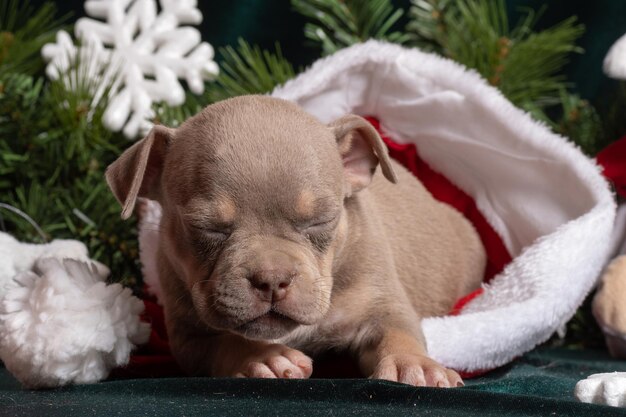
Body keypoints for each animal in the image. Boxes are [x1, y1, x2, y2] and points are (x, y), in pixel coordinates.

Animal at [105, 94, 482, 386]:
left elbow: (398, 331)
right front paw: (263, 357)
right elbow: (226, 342)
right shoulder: (188, 337)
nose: (272, 279)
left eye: (321, 220)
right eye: (206, 228)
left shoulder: (381, 303)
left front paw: (412, 365)